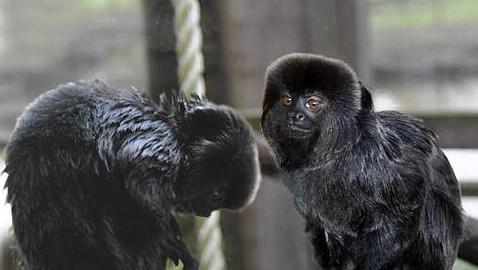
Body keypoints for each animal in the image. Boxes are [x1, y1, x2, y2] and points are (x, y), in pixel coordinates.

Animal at [3, 79, 260, 270]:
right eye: (216, 196)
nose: (206, 213)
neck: (176, 134)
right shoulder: (156, 142)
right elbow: (140, 187)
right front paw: (172, 242)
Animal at [262, 53, 464, 270]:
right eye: (287, 100)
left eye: (313, 104)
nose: (295, 115)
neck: (333, 155)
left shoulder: (374, 163)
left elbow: (409, 196)